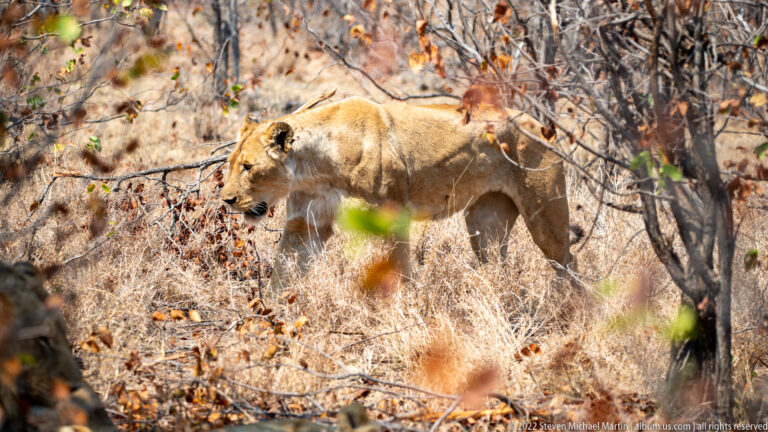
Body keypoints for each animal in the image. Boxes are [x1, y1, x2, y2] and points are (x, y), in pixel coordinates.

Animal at [221, 90, 574, 291]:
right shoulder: (306, 221)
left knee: (566, 261)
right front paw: (271, 320)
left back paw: (571, 307)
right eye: (231, 163)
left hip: (545, 211)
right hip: (485, 221)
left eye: (248, 167)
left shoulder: (389, 213)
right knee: (495, 261)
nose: (227, 199)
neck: (316, 167)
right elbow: (284, 271)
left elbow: (396, 269)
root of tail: (540, 123)